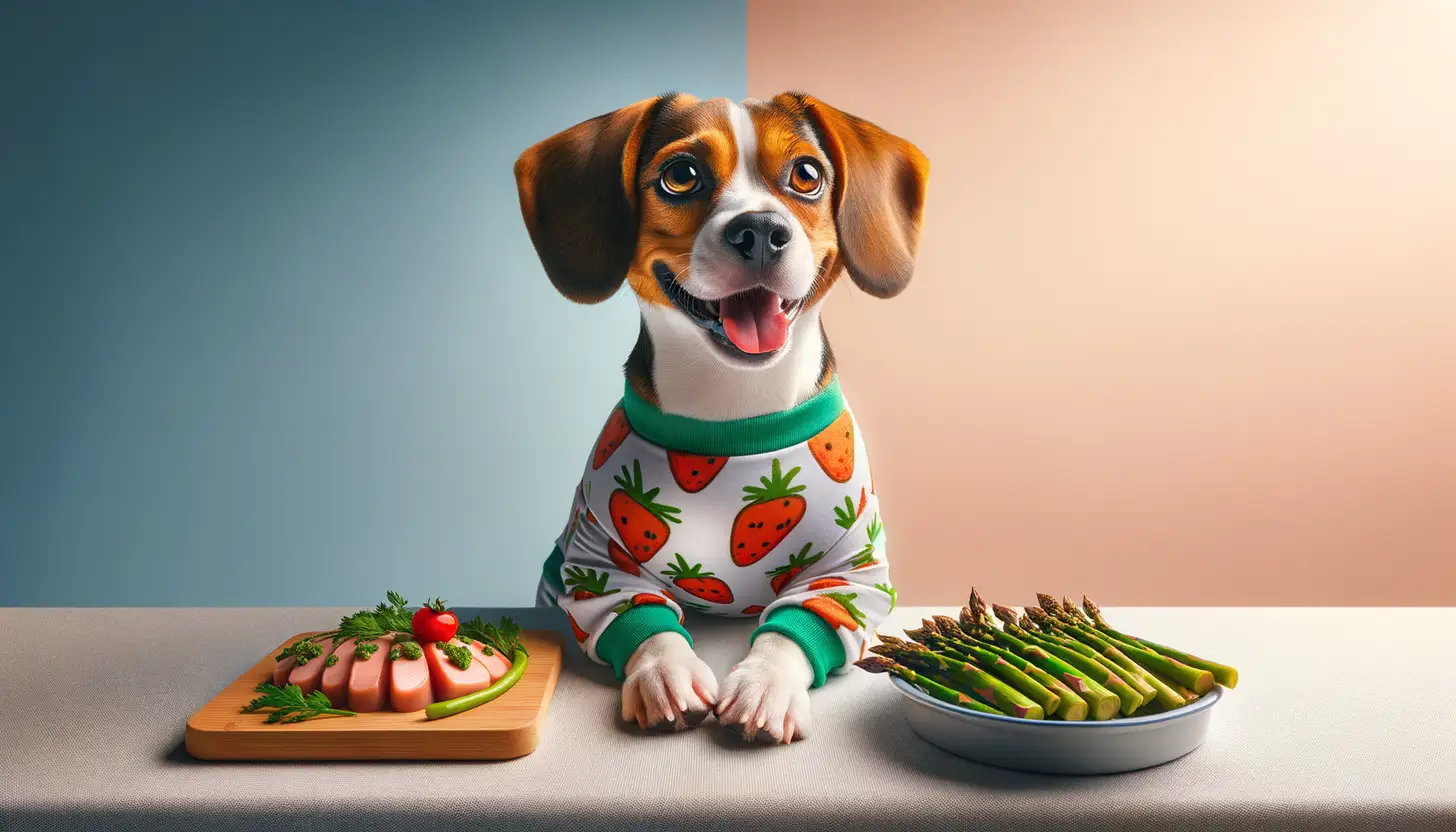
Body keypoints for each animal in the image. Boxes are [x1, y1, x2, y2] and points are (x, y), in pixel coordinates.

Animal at [518, 92, 926, 746]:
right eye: (681, 174)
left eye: (806, 174)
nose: (760, 230)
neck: (735, 412)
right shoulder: (598, 562)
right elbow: (642, 620)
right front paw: (665, 675)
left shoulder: (854, 571)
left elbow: (797, 626)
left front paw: (764, 686)